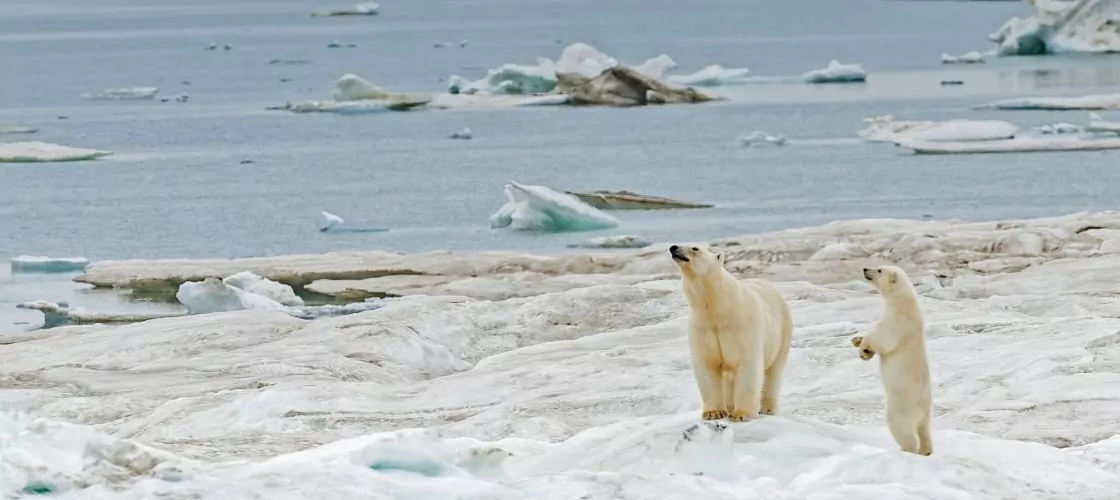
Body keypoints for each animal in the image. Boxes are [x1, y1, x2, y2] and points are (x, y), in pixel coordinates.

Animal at [667, 245, 792, 421]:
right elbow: (708, 365)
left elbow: (747, 365)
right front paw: (713, 412)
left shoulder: (743, 325)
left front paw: (741, 414)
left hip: (783, 331)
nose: (673, 248)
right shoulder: (702, 328)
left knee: (774, 370)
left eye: (695, 248)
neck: (719, 309)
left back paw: (767, 408)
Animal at [846, 267, 936, 455]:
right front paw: (857, 340)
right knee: (924, 430)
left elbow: (883, 340)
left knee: (901, 429)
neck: (903, 301)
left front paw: (864, 350)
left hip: (900, 408)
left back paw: (908, 449)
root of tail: (922, 410)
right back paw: (926, 450)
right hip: (924, 413)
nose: (865, 268)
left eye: (879, 269)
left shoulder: (898, 321)